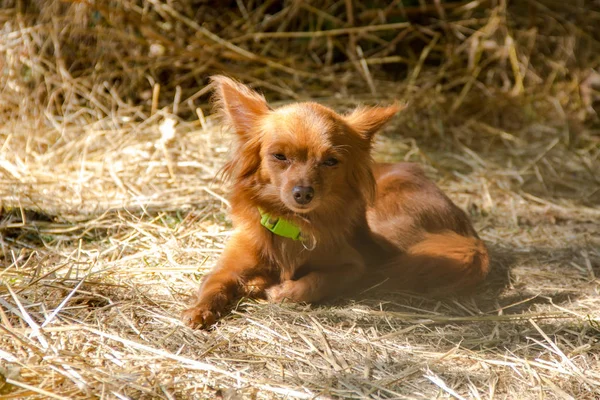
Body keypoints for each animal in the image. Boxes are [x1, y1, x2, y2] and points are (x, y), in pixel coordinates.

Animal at [180, 75, 490, 328]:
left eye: (330, 161)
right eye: (279, 156)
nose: (303, 192)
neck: (293, 224)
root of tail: (469, 232)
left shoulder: (353, 265)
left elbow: (317, 281)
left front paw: (281, 290)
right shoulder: (231, 263)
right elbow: (213, 283)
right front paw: (199, 310)